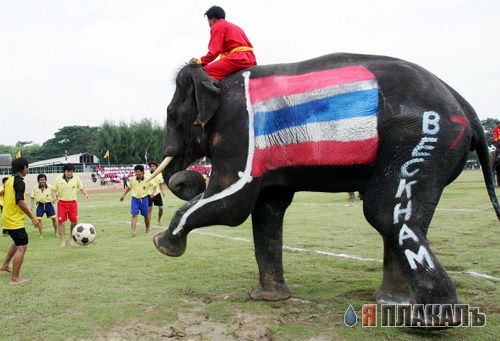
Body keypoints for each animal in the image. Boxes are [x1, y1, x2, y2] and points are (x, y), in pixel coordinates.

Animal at [149, 52, 500, 306]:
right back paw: (393, 303)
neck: (216, 80)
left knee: (386, 213)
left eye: (171, 116)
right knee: (397, 217)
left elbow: (234, 204)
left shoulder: (240, 130)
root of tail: (463, 105)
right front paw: (270, 298)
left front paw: (163, 246)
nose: (186, 176)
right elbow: (267, 210)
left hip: (420, 138)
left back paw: (431, 317)